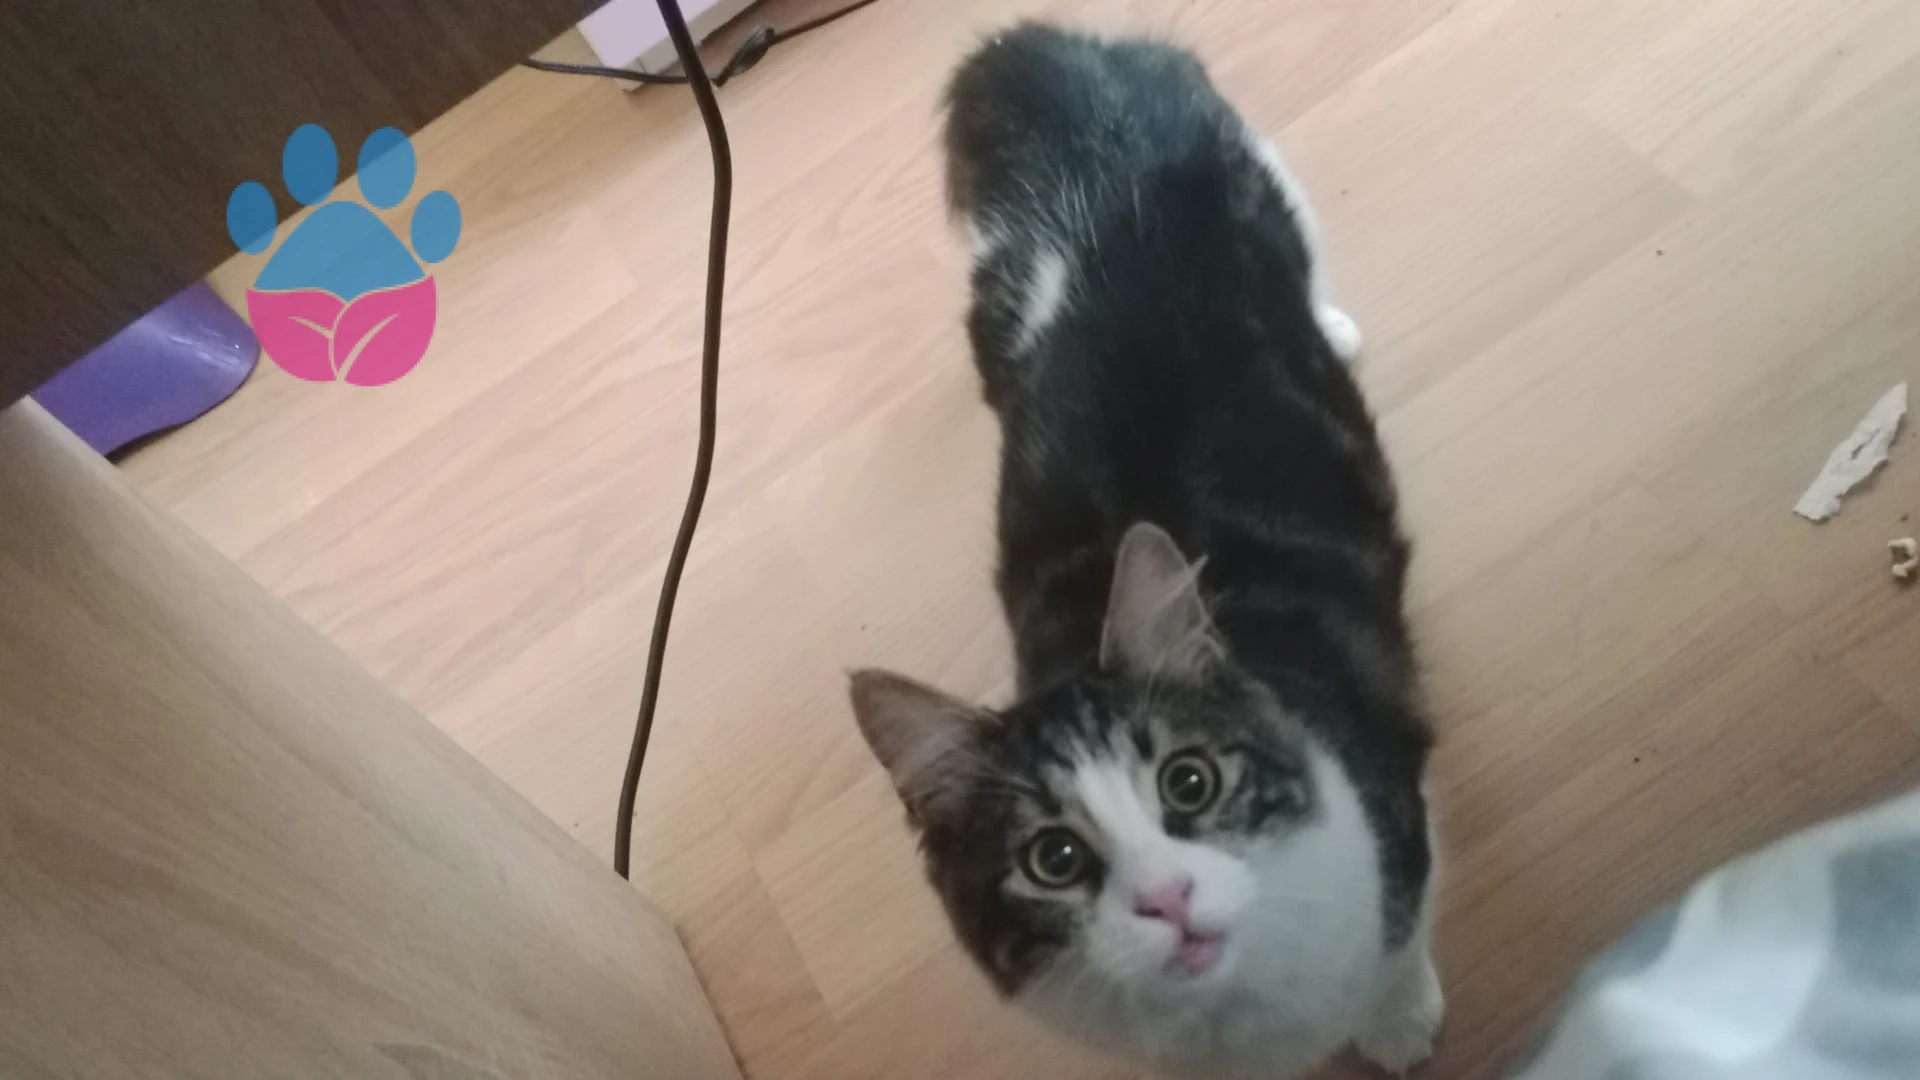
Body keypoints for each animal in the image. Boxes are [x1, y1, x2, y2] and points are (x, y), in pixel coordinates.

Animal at [848, 23, 1441, 1079]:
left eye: (1188, 783)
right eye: (1055, 859)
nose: (1166, 899)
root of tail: (1061, 67)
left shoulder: (1391, 809)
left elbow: (1401, 933)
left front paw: (1402, 1023)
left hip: (1259, 174)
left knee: (1306, 249)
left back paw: (1333, 325)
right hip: (995, 311)